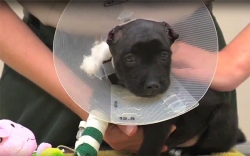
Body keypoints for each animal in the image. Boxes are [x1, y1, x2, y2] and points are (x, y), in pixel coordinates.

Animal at [105, 19, 244, 156]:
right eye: (129, 58)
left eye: (164, 56)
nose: (153, 84)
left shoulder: (158, 129)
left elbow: (148, 149)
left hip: (223, 116)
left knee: (208, 147)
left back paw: (183, 150)